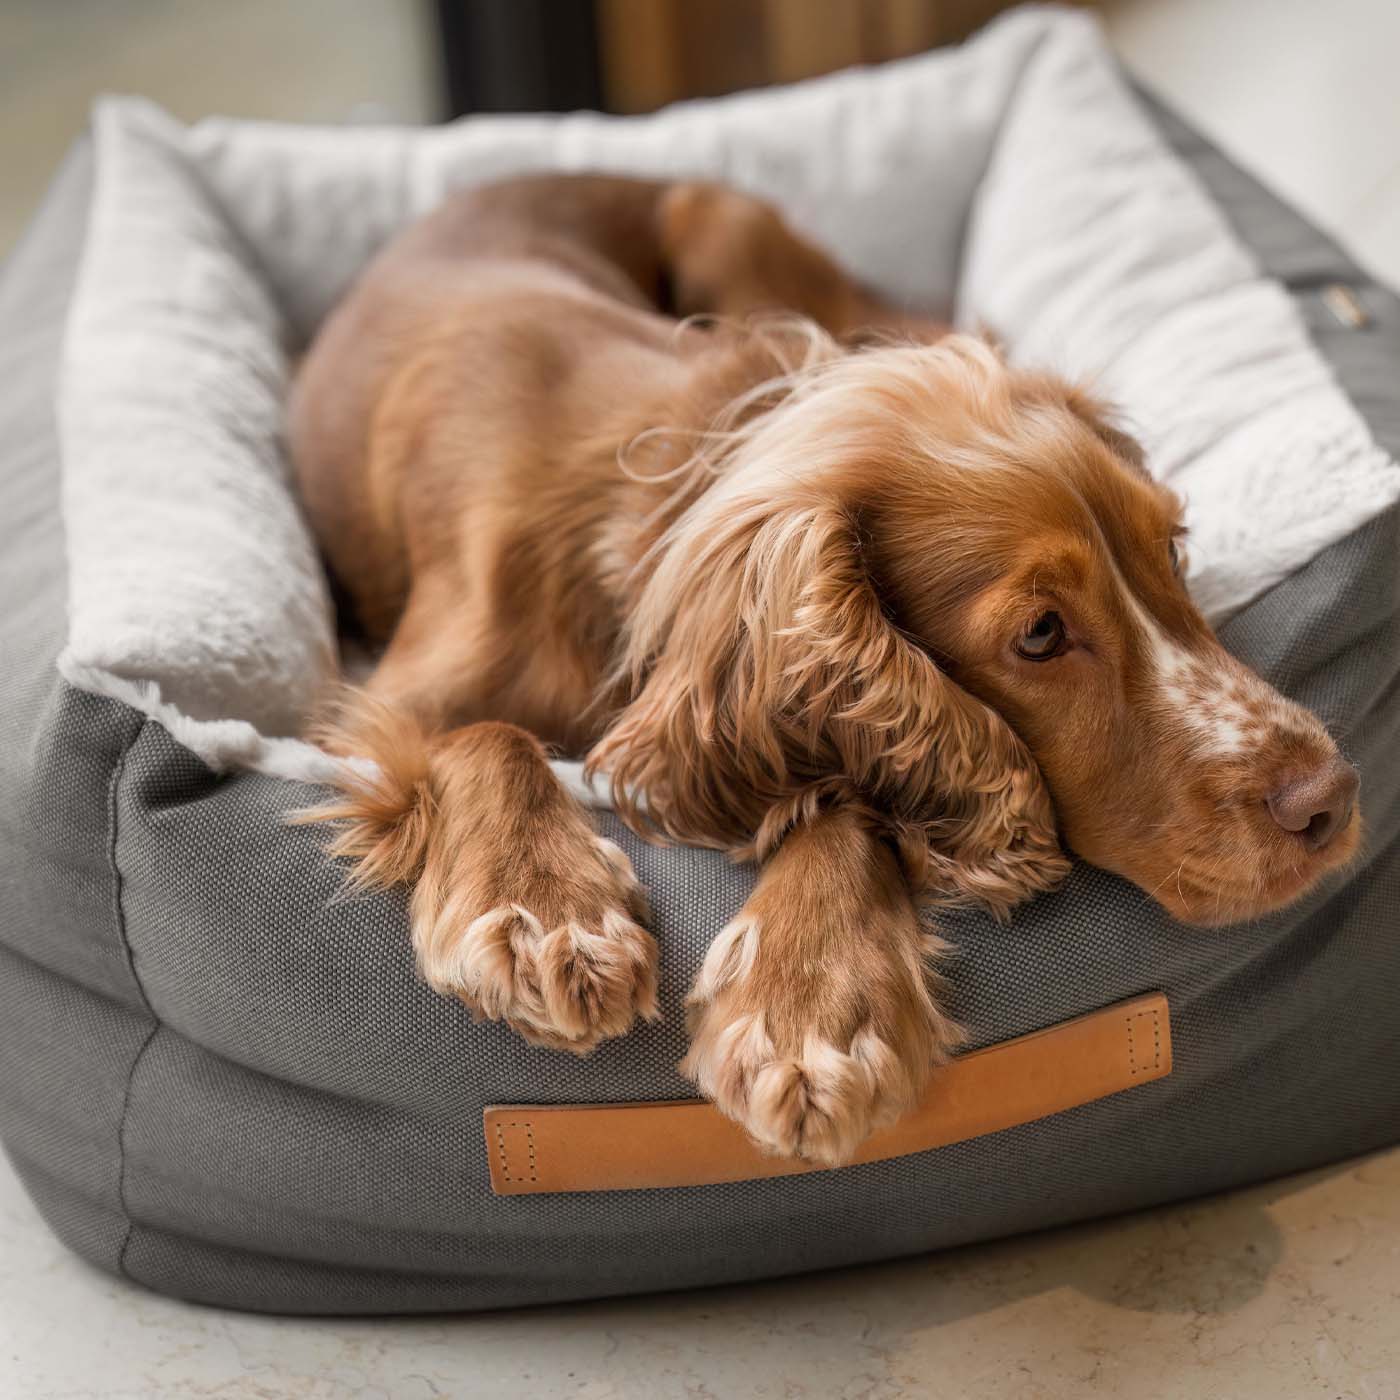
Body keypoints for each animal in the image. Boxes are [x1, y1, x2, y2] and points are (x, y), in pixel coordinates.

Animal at [292, 172, 1355, 1159]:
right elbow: (486, 731)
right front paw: (542, 909)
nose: (1330, 799)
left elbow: (843, 796)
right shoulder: (382, 698)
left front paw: (810, 1007)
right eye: (1042, 634)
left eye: (1172, 550)